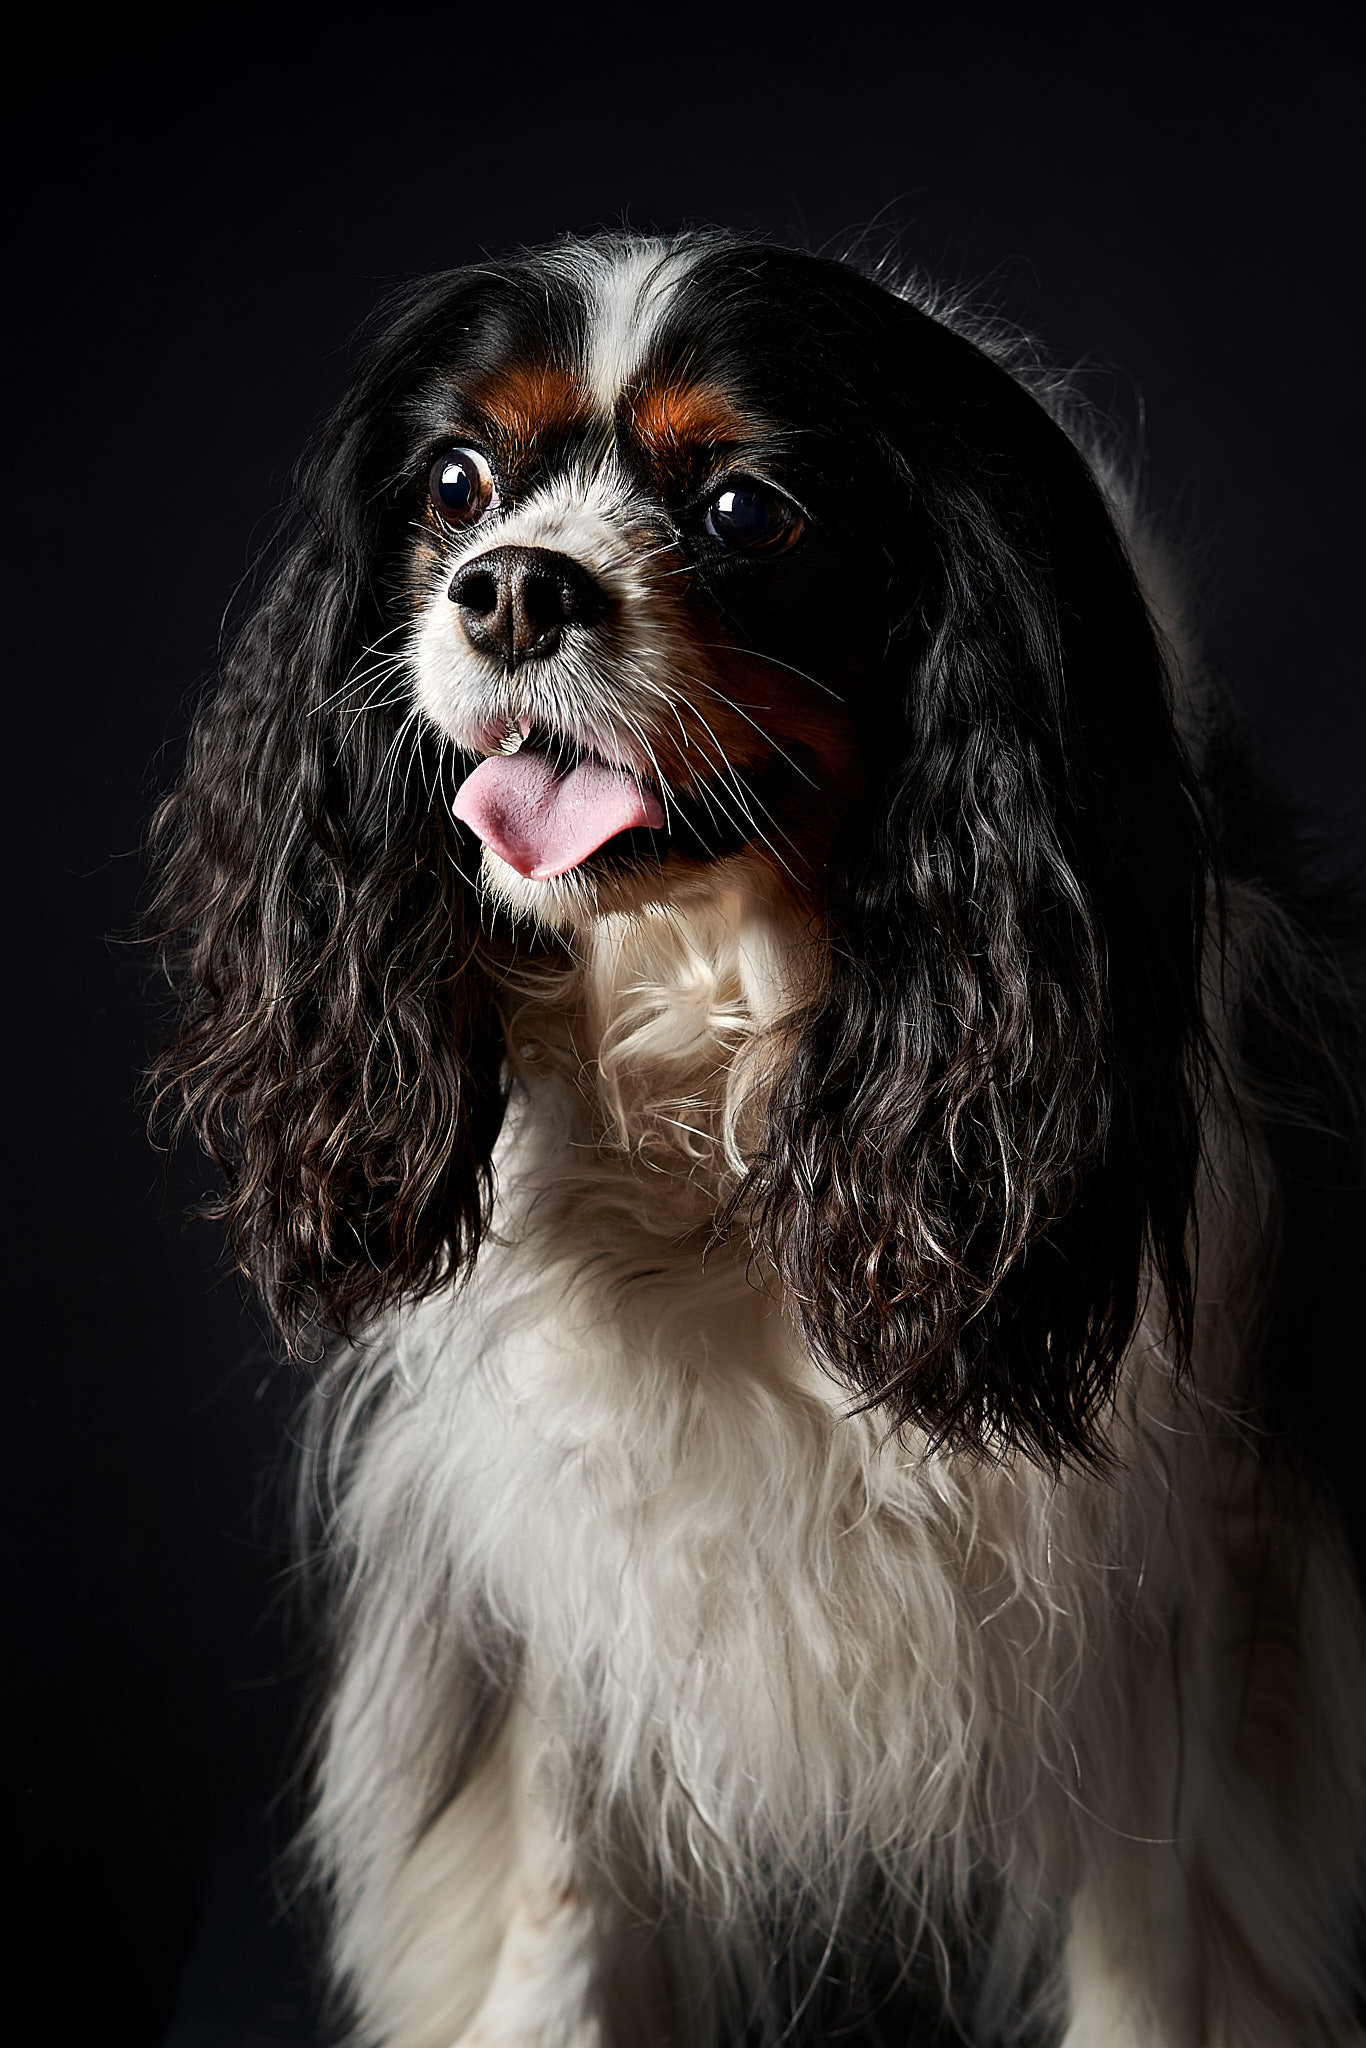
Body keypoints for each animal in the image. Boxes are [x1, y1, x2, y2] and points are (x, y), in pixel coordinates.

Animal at [149, 232, 1366, 2039]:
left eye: (742, 510)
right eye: (454, 484)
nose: (506, 587)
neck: (727, 1041)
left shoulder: (1161, 1549)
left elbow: (1143, 1922)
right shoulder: (578, 1506)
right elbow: (566, 1875)